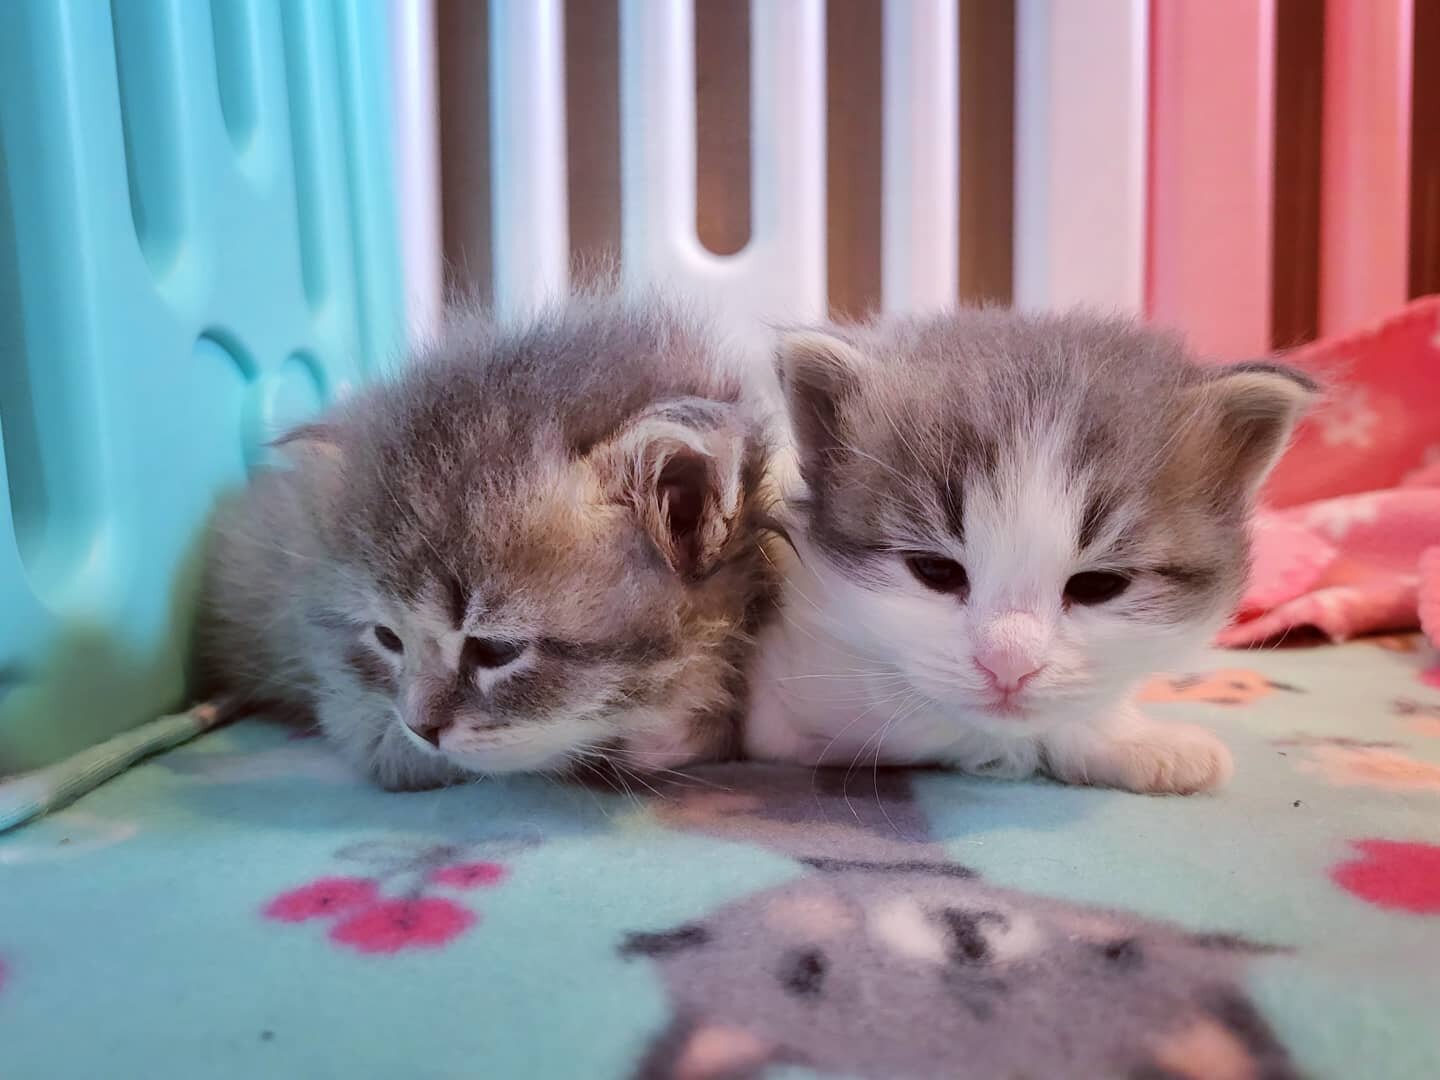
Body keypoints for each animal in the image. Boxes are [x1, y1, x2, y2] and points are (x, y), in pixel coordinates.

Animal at [743, 308, 1319, 800]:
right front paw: (1124, 738)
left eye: (1098, 585)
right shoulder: (790, 700)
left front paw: (1133, 738)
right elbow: (946, 721)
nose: (1008, 665)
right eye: (935, 570)